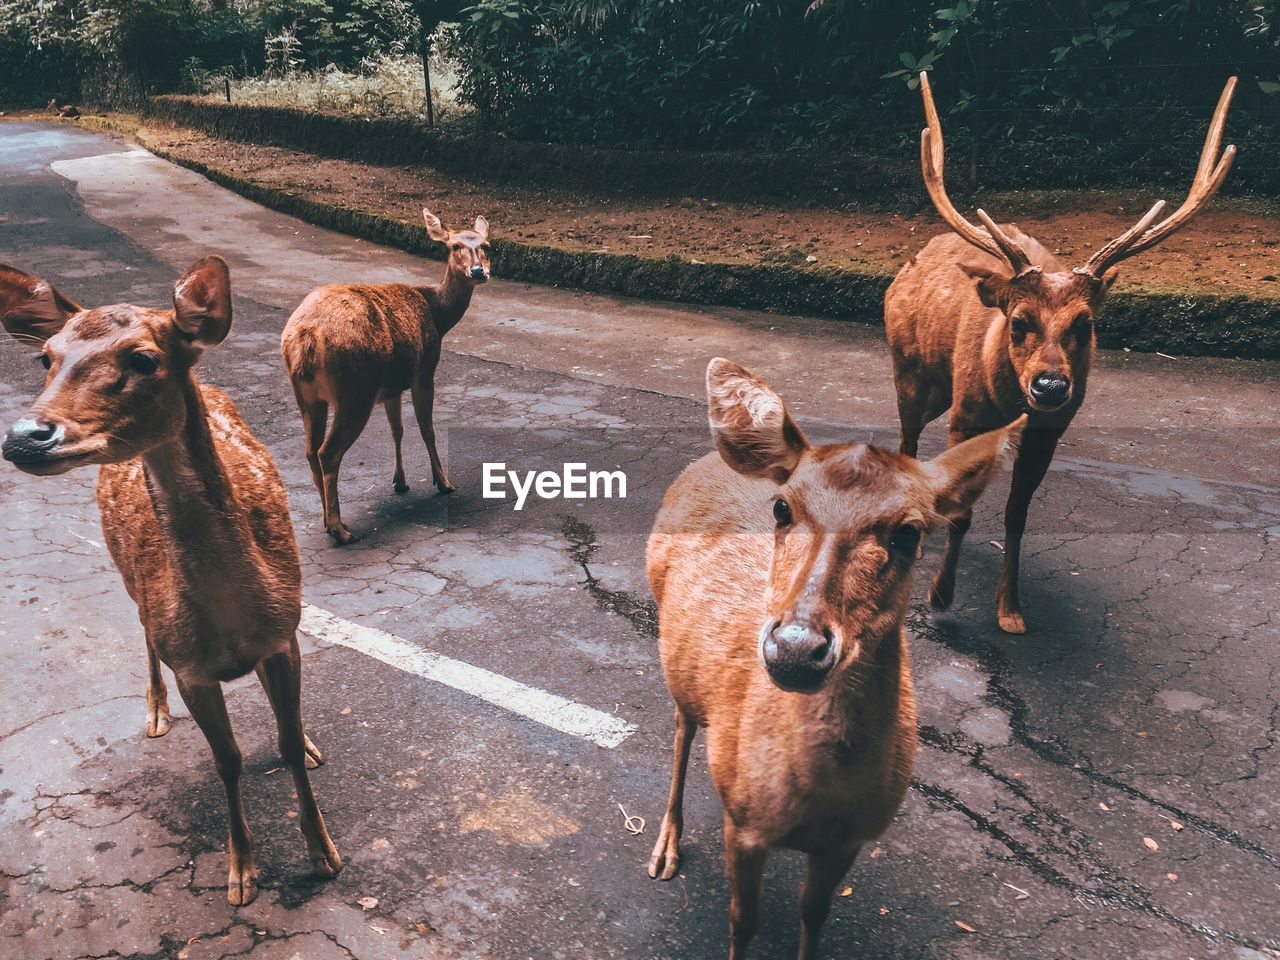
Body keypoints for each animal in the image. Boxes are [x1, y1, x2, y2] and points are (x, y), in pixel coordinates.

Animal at [0, 257, 343, 911]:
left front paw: (323, 851)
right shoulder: (191, 667)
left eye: (143, 358)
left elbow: (284, 740)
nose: (25, 436)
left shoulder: (285, 633)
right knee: (141, 631)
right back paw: (155, 712)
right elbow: (228, 761)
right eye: (45, 357)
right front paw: (241, 873)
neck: (232, 618)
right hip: (129, 578)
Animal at [282, 207, 491, 545]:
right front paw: (443, 482)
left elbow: (398, 430)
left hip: (306, 395)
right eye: (454, 246)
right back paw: (340, 529)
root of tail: (305, 339)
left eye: (486, 245)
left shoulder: (392, 386)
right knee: (328, 452)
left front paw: (401, 481)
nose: (478, 271)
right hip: (354, 391)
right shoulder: (424, 371)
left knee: (311, 451)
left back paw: (327, 520)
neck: (437, 315)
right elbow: (427, 429)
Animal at [645, 358, 1024, 960]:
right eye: (782, 507)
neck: (815, 801)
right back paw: (665, 847)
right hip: (675, 662)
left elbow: (814, 915)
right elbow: (742, 922)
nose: (796, 647)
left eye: (910, 532)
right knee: (682, 730)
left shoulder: (849, 840)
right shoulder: (742, 823)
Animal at [885, 73, 1233, 632]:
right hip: (910, 373)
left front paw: (1010, 610)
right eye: (1019, 321)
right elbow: (962, 512)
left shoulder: (1050, 432)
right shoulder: (967, 414)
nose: (1050, 385)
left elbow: (1017, 514)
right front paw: (941, 596)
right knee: (908, 443)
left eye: (1085, 323)